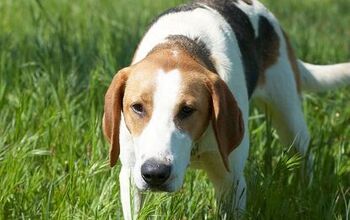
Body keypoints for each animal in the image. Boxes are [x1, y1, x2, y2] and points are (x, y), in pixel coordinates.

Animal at [102, 0, 350, 218]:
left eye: (187, 110)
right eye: (137, 107)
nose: (155, 173)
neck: (179, 44)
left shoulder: (231, 182)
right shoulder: (131, 175)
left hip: (289, 118)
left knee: (304, 155)